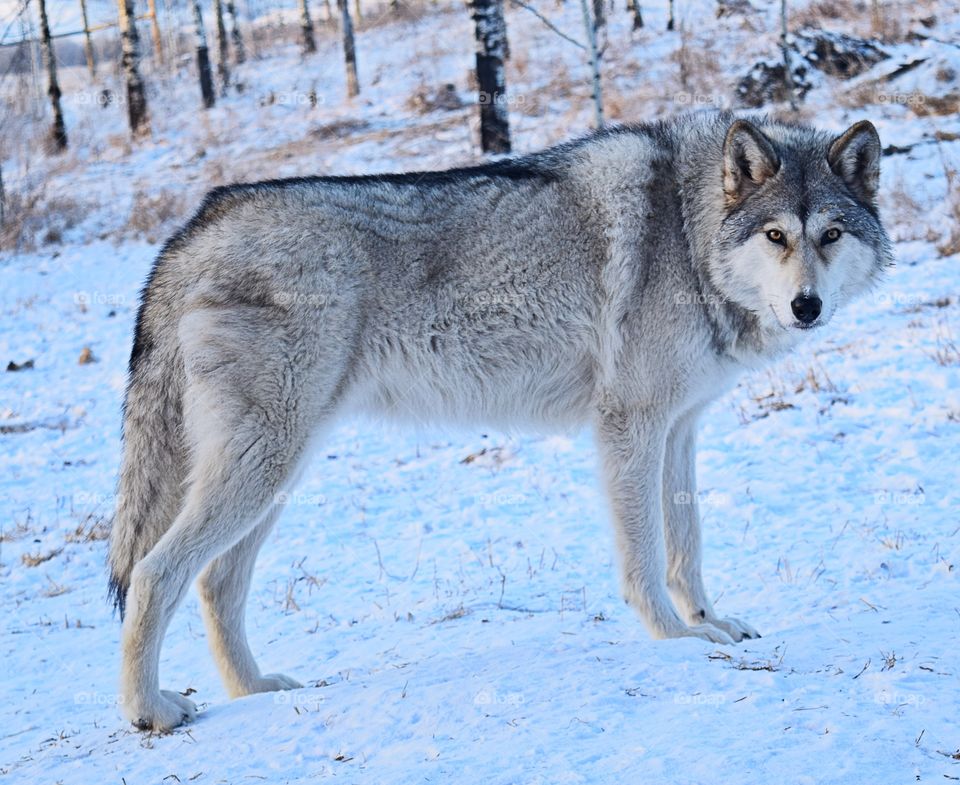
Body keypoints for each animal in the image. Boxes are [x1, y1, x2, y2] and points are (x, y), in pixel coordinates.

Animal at [108, 111, 892, 730]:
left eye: (829, 235)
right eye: (774, 236)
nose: (807, 307)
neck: (687, 229)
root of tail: (194, 226)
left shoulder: (681, 428)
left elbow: (686, 548)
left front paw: (711, 623)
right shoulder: (630, 425)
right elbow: (644, 557)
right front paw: (676, 641)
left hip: (278, 472)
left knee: (215, 583)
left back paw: (255, 692)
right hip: (264, 464)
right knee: (154, 572)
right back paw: (150, 712)